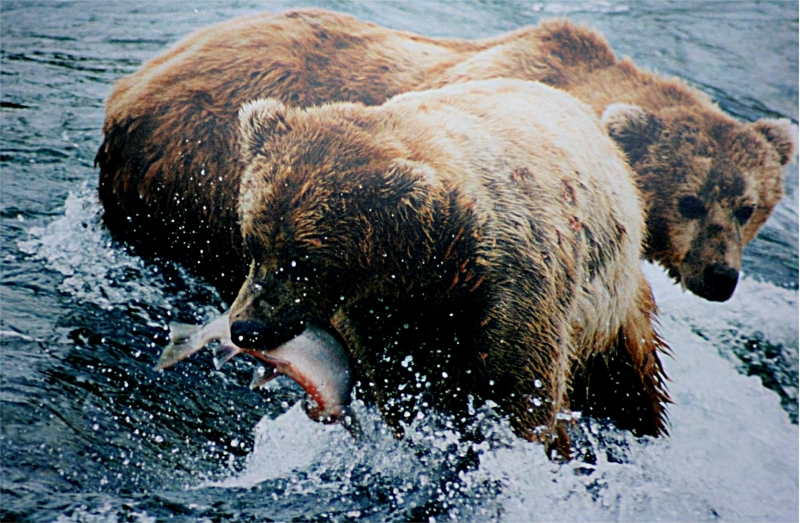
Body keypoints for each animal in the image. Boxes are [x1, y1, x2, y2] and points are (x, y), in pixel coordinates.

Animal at [222, 79, 669, 456]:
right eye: (253, 243)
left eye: (307, 264)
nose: (245, 327)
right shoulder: (387, 312)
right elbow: (399, 387)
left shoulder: (513, 287)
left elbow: (524, 391)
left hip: (614, 309)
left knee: (635, 384)